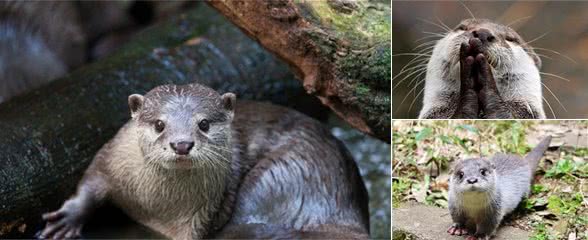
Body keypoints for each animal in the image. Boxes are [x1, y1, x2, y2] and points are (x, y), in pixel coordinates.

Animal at [36, 83, 368, 239]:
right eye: (159, 124)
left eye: (204, 123)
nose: (181, 144)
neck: (155, 206)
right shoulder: (113, 156)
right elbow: (91, 181)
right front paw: (66, 219)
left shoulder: (200, 218)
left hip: (281, 175)